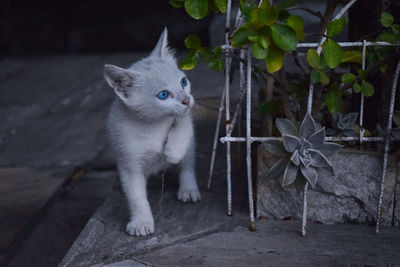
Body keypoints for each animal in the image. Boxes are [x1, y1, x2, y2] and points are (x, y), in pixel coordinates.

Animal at [104, 27, 202, 237]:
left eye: (183, 82)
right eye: (163, 95)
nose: (187, 100)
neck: (153, 124)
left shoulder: (186, 117)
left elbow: (183, 124)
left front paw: (172, 151)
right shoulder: (129, 163)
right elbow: (136, 196)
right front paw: (141, 222)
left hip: (191, 149)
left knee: (188, 163)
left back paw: (188, 188)